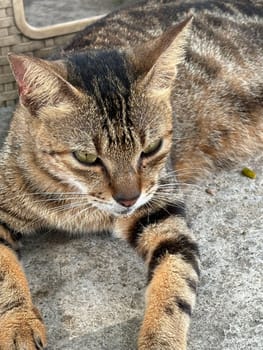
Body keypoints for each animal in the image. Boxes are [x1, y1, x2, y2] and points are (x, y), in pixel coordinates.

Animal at [0, 0, 262, 348]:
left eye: (151, 148)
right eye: (86, 157)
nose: (128, 199)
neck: (81, 208)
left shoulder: (162, 211)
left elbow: (175, 283)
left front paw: (160, 340)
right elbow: (5, 276)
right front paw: (18, 323)